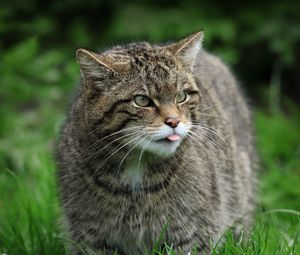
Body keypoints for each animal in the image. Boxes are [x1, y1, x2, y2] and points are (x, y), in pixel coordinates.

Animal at [56, 30, 255, 254]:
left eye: (181, 96)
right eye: (142, 100)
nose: (174, 121)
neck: (136, 167)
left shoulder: (192, 235)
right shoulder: (90, 237)